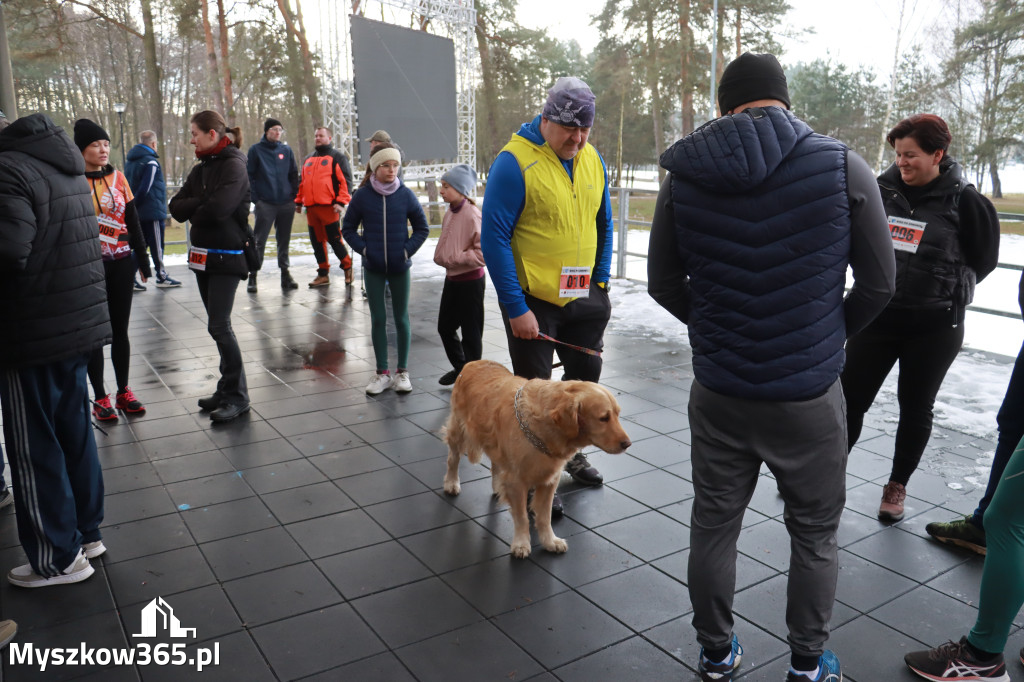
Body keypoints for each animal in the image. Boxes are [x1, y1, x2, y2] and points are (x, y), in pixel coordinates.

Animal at [442, 358, 626, 557]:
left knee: (495, 464)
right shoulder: (516, 480)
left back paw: (497, 485)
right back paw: (451, 483)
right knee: (452, 459)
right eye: (604, 418)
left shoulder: (550, 480)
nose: (627, 443)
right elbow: (522, 516)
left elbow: (545, 516)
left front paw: (550, 541)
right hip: (458, 431)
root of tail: (474, 362)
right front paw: (521, 544)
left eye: (617, 414)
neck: (544, 427)